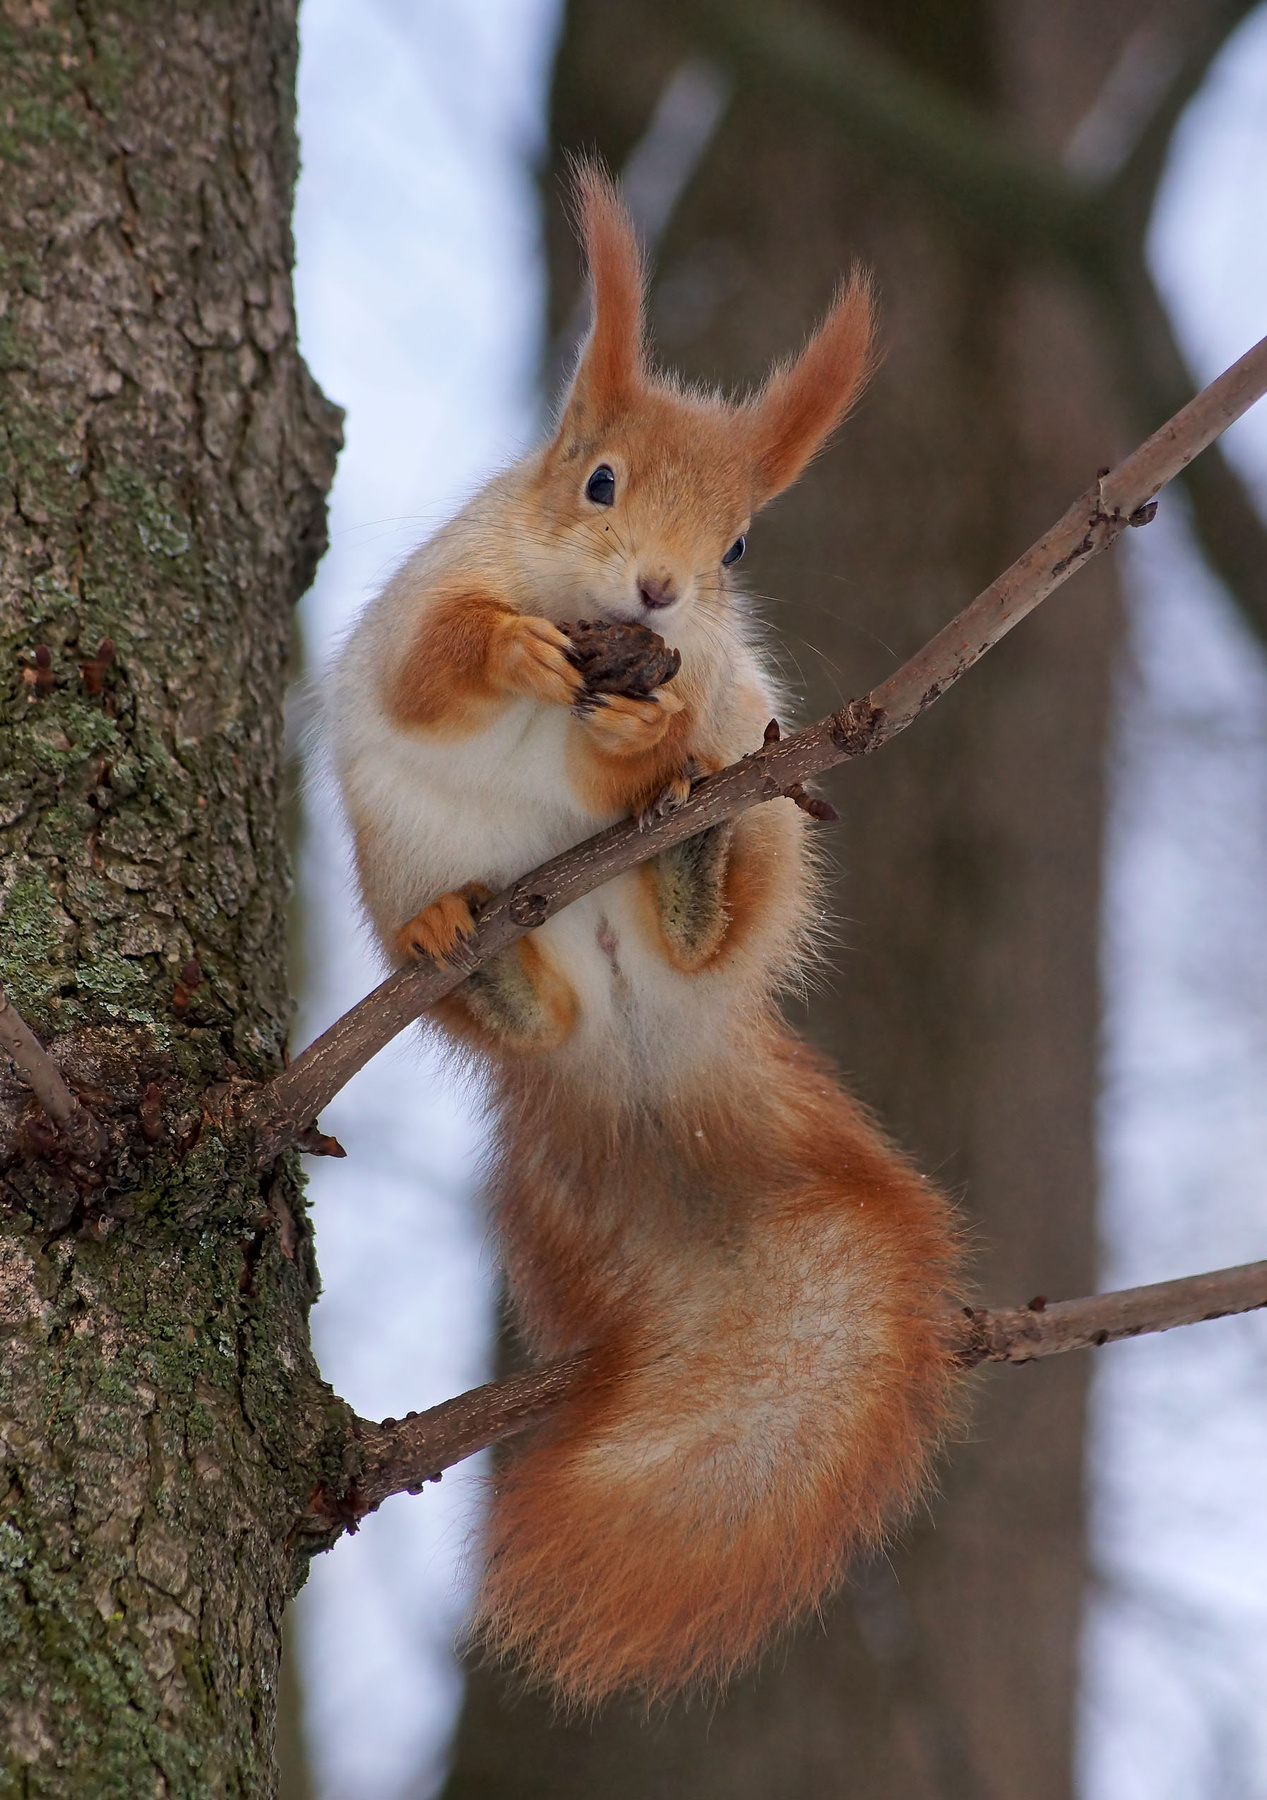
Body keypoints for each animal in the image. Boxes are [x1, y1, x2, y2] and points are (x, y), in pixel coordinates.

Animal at [328, 163, 960, 1708]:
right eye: (598, 481)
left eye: (736, 542)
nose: (662, 593)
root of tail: (633, 1042)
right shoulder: (430, 597)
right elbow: (430, 668)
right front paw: (505, 653)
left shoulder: (715, 684)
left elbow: (641, 748)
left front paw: (645, 727)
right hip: (392, 851)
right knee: (510, 1000)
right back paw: (471, 951)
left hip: (769, 822)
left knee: (709, 926)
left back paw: (690, 872)